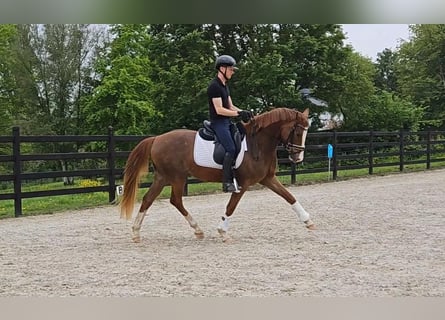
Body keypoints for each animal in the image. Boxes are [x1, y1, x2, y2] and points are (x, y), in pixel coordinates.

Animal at [119, 107, 314, 242]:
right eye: (297, 132)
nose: (298, 158)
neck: (257, 143)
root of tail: (157, 138)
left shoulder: (268, 179)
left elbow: (289, 196)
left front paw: (308, 221)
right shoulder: (242, 183)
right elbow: (231, 207)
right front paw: (223, 232)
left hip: (163, 177)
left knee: (149, 199)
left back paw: (137, 232)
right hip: (176, 177)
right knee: (175, 201)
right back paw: (196, 229)